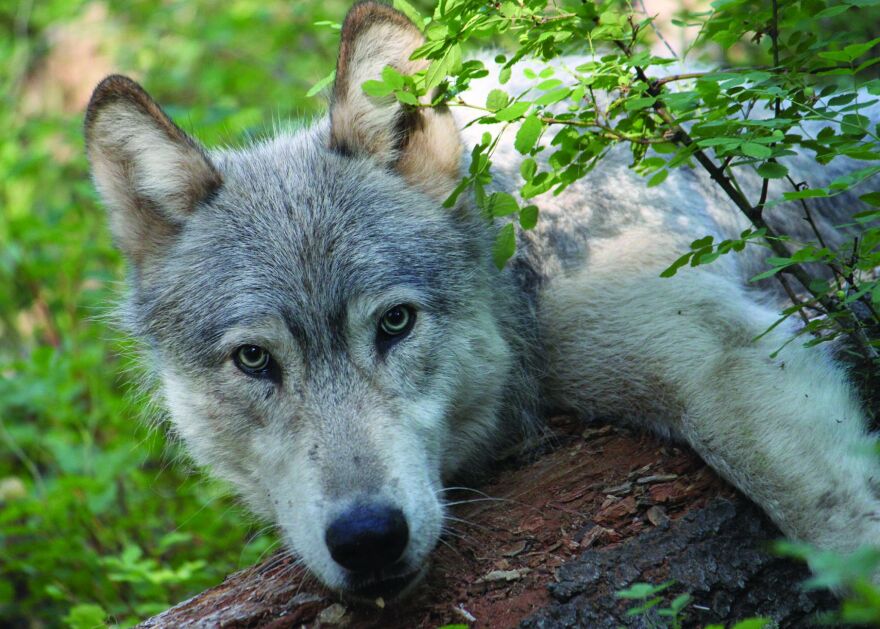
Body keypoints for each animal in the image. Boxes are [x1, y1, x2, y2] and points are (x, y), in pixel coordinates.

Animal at [84, 0, 880, 602]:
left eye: (395, 323)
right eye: (254, 360)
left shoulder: (710, 348)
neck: (526, 252)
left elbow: (840, 528)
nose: (368, 539)